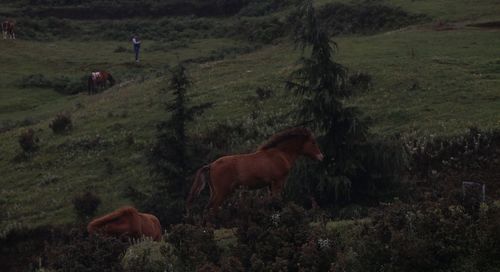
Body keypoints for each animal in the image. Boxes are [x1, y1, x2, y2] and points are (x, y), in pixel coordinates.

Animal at [188, 127, 324, 212]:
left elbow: (272, 201)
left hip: (215, 191)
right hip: (222, 192)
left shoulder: (270, 185)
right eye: (313, 142)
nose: (321, 157)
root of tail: (211, 165)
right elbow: (277, 201)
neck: (280, 154)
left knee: (208, 208)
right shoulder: (278, 182)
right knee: (213, 208)